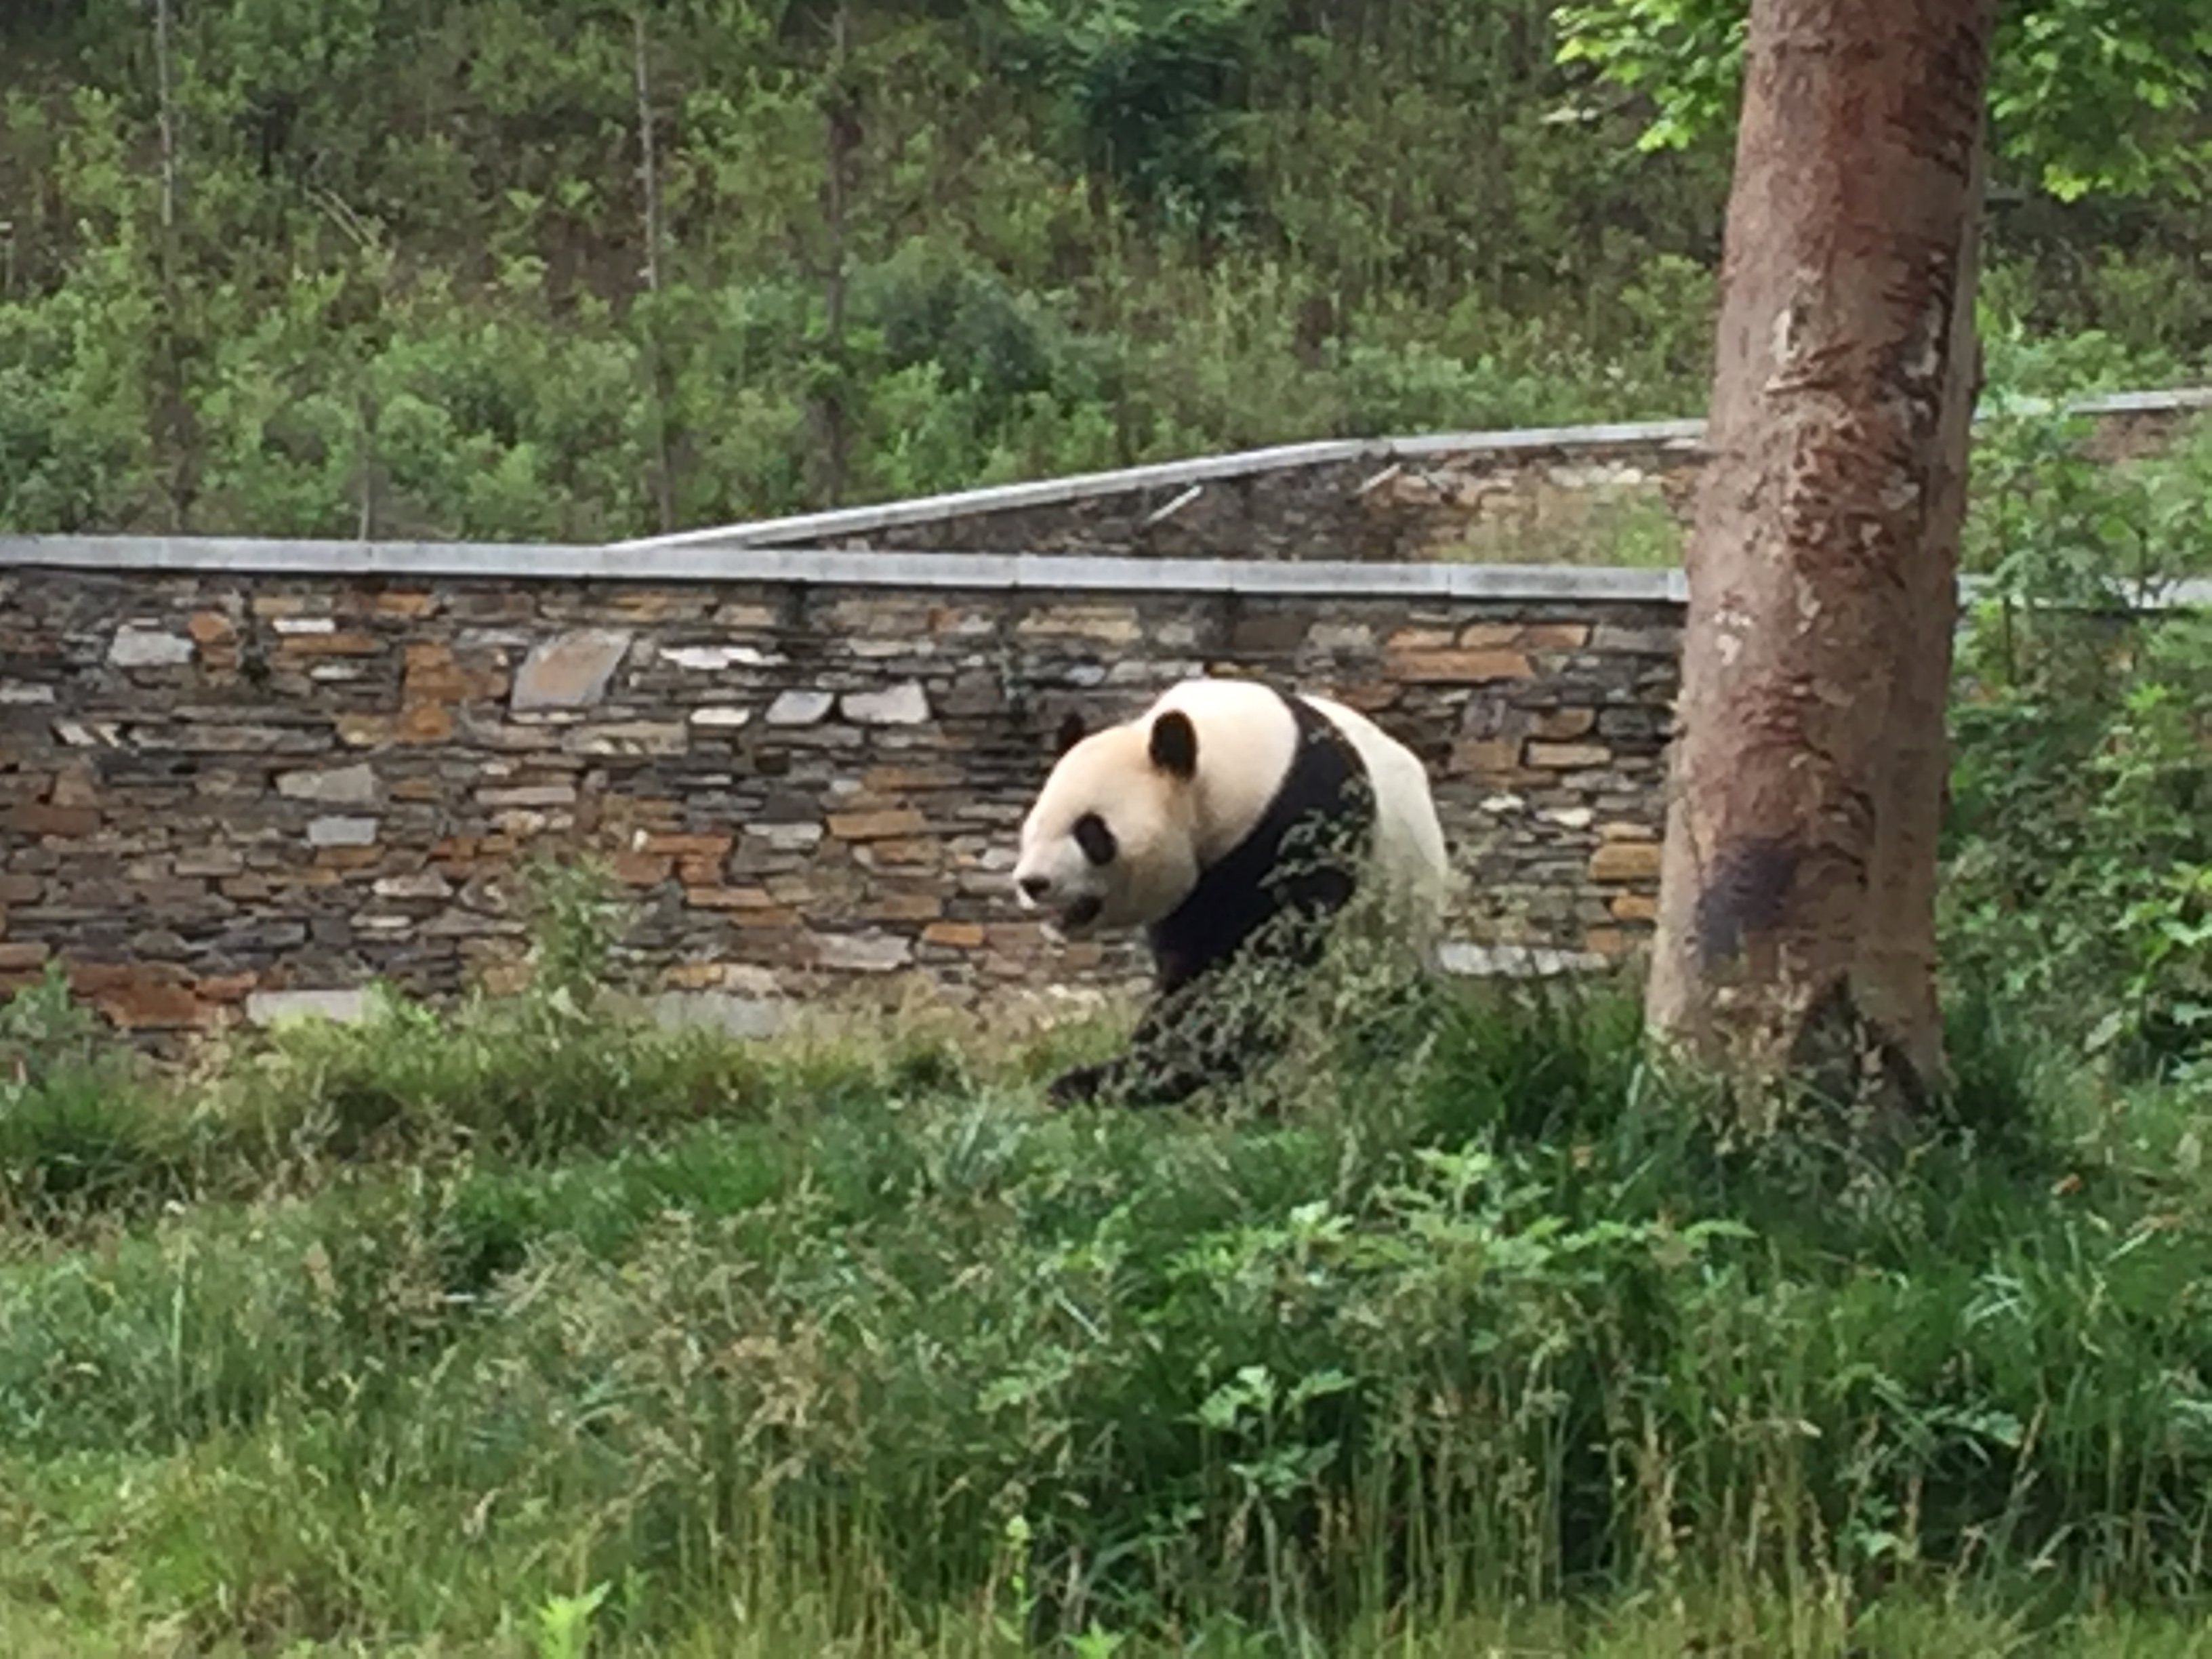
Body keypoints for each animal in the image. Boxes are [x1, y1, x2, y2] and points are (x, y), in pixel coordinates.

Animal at [1012, 676, 1451, 1119]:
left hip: (1395, 923)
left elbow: (1250, 973)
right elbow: (1189, 969)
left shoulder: (1301, 821)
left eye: (1090, 833)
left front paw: (1104, 1082)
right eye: (1035, 823)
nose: (1032, 882)